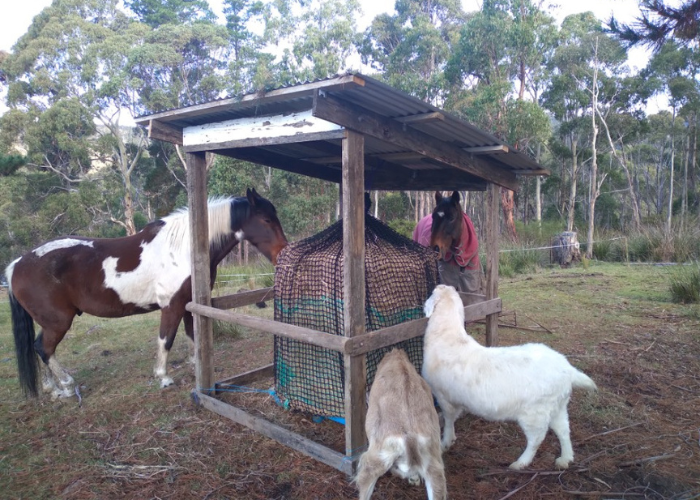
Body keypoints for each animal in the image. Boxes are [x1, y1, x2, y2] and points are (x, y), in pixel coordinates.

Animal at [5, 188, 284, 398]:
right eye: (266, 220)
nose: (283, 252)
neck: (183, 249)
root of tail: (17, 264)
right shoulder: (172, 306)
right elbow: (166, 339)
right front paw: (163, 377)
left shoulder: (189, 305)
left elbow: (192, 335)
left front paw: (195, 365)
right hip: (58, 321)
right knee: (44, 349)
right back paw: (66, 384)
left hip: (50, 322)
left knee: (40, 348)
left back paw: (52, 388)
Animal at [422, 286, 596, 468]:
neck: (448, 337)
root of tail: (568, 370)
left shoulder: (443, 396)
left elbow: (449, 420)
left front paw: (445, 442)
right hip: (558, 406)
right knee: (563, 430)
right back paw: (565, 458)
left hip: (535, 413)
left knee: (536, 439)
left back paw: (521, 463)